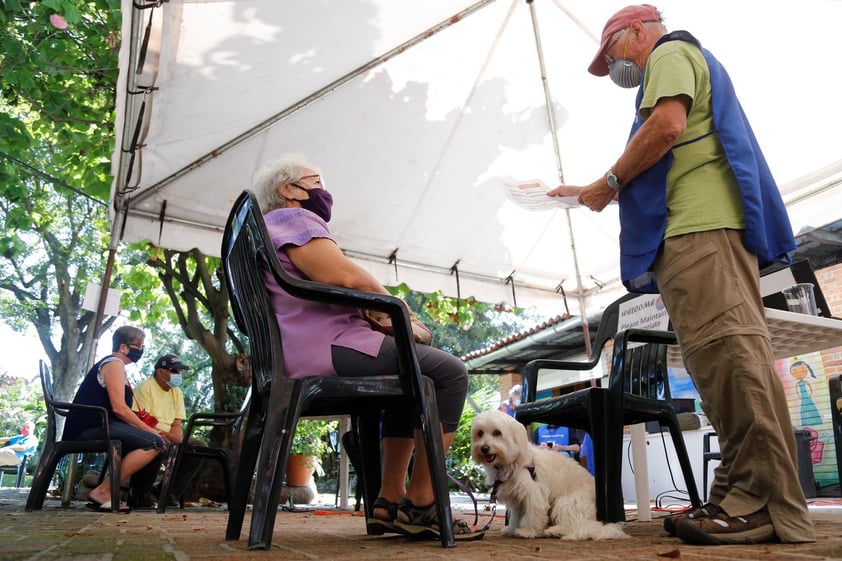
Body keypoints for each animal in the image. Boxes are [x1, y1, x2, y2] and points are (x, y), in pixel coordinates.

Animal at [470, 410, 628, 540]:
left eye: (497, 432)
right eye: (480, 433)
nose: (484, 448)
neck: (512, 462)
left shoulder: (533, 491)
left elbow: (533, 513)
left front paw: (528, 531)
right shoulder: (518, 499)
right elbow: (516, 516)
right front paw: (512, 529)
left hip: (567, 502)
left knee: (575, 526)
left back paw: (555, 531)